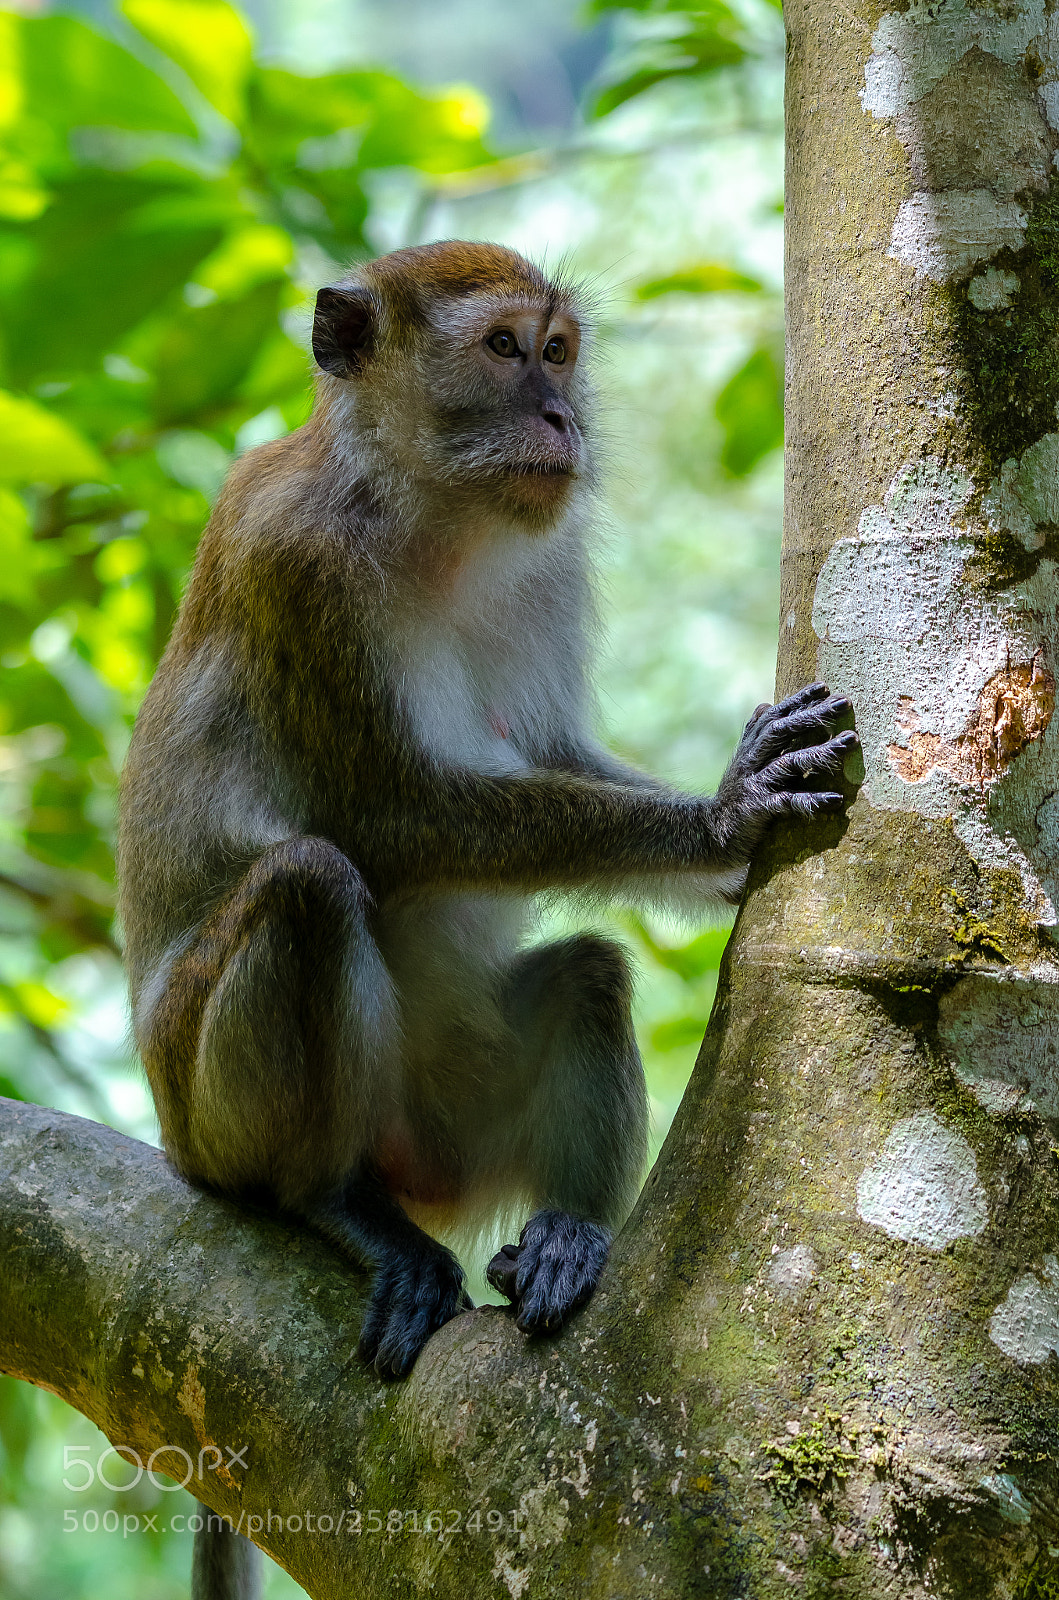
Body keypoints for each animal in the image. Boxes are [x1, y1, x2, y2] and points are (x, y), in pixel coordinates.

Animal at [117, 239, 854, 1595]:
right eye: (507, 351)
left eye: (561, 354)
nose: (563, 417)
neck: (429, 519)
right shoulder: (299, 564)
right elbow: (397, 815)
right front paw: (725, 819)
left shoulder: (547, 563)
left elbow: (554, 758)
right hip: (204, 1110)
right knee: (308, 883)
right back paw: (331, 1203)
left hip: (458, 1114)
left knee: (586, 978)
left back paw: (559, 1236)